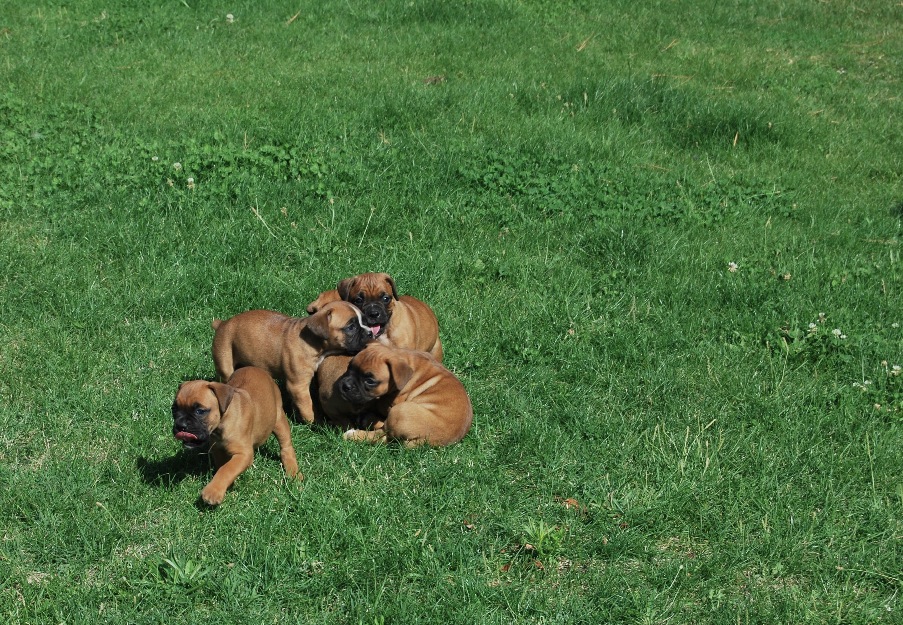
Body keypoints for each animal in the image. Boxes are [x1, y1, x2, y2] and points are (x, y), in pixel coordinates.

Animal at [175, 364, 302, 504]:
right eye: (174, 409)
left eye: (200, 411)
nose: (180, 425)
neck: (222, 423)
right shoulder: (217, 450)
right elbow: (222, 466)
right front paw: (226, 485)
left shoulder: (243, 454)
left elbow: (227, 469)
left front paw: (213, 491)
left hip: (279, 419)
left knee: (286, 446)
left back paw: (293, 470)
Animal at [334, 342, 474, 444]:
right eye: (349, 366)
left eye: (370, 381)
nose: (345, 385)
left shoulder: (391, 403)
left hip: (400, 411)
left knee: (381, 435)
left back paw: (354, 432)